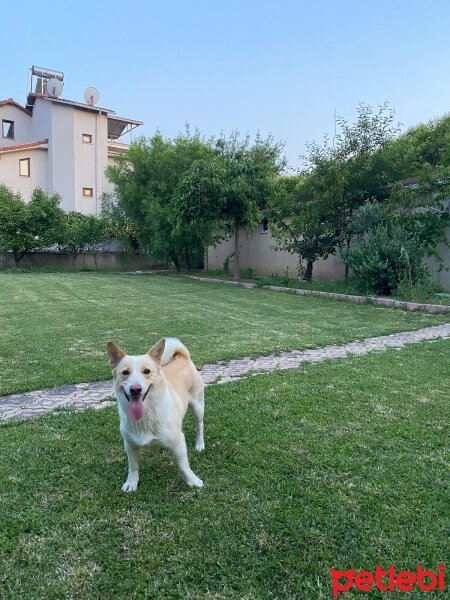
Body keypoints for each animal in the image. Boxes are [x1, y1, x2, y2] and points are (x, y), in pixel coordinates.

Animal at [106, 338, 205, 492]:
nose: (135, 389)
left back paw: (200, 444)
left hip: (198, 406)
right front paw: (131, 482)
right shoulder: (129, 445)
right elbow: (133, 467)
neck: (146, 415)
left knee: (200, 425)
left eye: (147, 371)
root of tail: (183, 357)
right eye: (125, 372)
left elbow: (184, 466)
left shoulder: (178, 442)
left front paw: (192, 480)